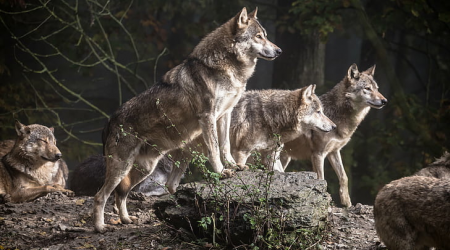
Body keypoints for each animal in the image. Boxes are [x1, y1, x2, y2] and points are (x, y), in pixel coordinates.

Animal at [94, 6, 282, 233]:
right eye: (259, 36)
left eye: (266, 36)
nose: (279, 51)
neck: (227, 68)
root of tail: (109, 121)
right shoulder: (208, 116)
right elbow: (214, 149)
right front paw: (221, 172)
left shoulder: (225, 114)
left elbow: (225, 145)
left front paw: (233, 165)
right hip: (121, 167)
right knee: (100, 196)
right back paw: (100, 227)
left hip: (144, 169)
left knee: (121, 193)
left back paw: (126, 220)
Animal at [164, 85, 334, 194]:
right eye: (319, 112)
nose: (334, 126)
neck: (271, 116)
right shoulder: (241, 152)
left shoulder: (272, 155)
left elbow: (280, 173)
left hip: (185, 158)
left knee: (170, 184)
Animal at [278, 64, 386, 207]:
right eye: (367, 89)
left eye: (377, 89)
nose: (385, 101)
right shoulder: (318, 154)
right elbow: (322, 179)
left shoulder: (334, 151)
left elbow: (344, 177)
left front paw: (347, 203)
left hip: (285, 158)